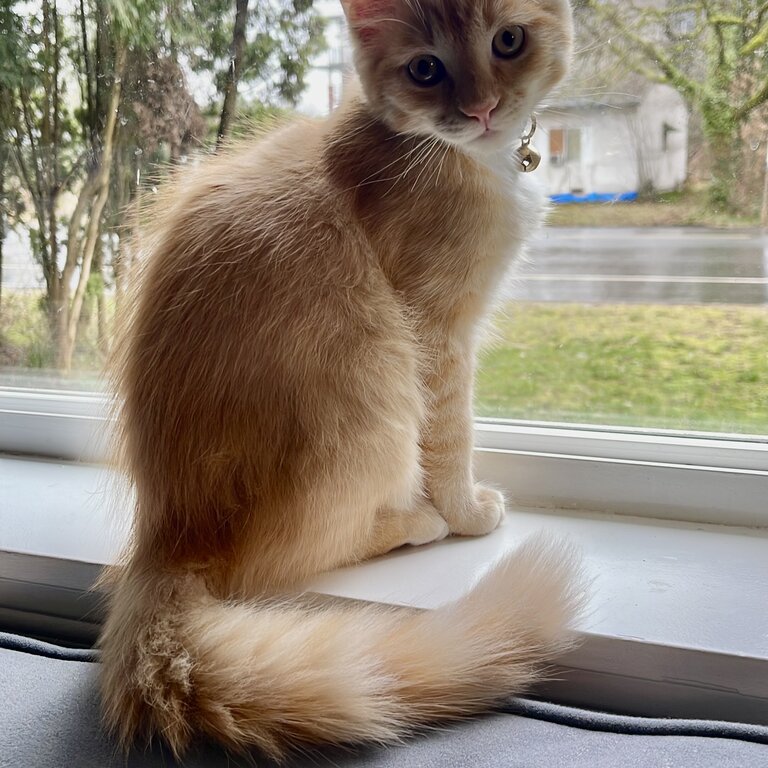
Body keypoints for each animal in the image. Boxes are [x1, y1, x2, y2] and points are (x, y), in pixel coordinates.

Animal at [100, 0, 584, 760]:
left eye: (509, 40)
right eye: (425, 69)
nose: (480, 109)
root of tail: (170, 534)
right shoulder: (437, 333)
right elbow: (452, 436)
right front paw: (466, 511)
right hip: (378, 389)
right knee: (292, 553)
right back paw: (414, 521)